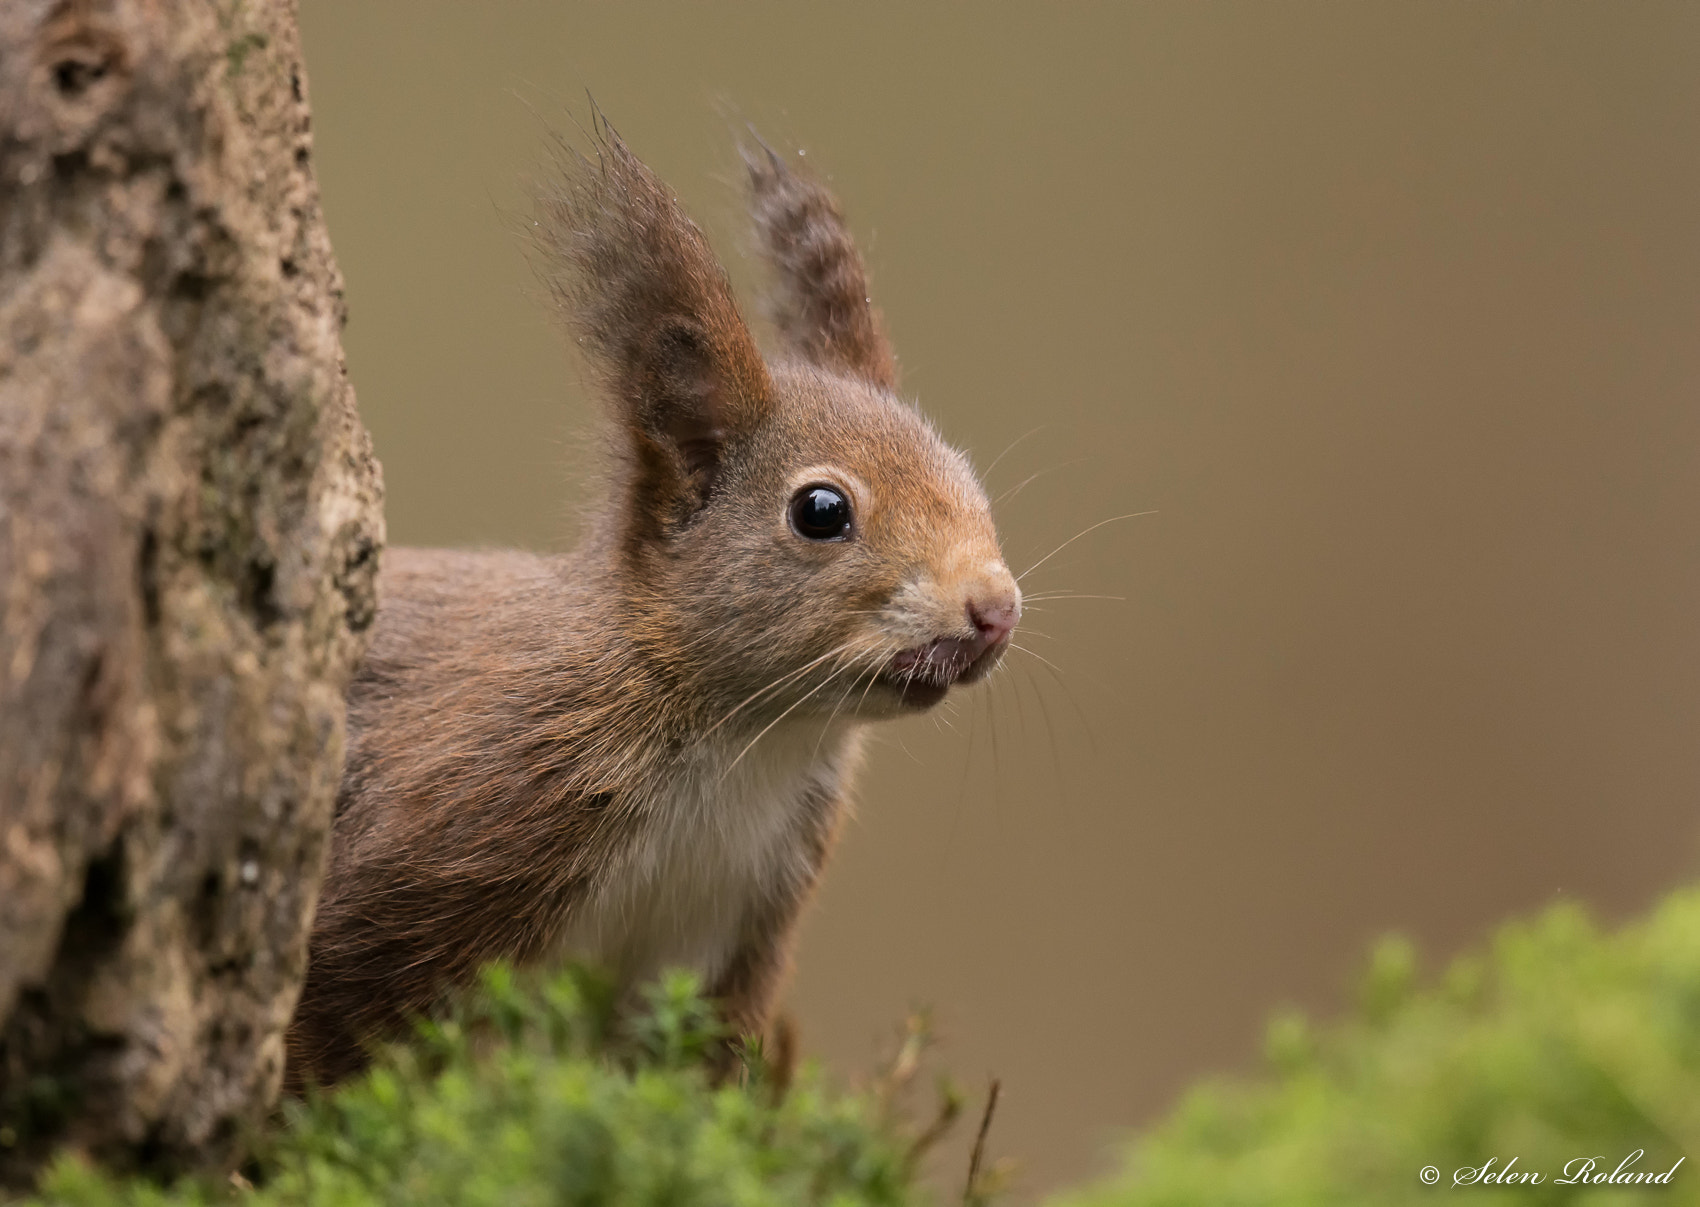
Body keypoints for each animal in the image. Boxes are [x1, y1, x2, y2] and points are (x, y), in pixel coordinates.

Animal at [285, 120, 1013, 1088]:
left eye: (966, 474)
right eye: (821, 511)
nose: (996, 609)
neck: (750, 739)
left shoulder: (726, 930)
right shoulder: (470, 811)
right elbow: (329, 1009)